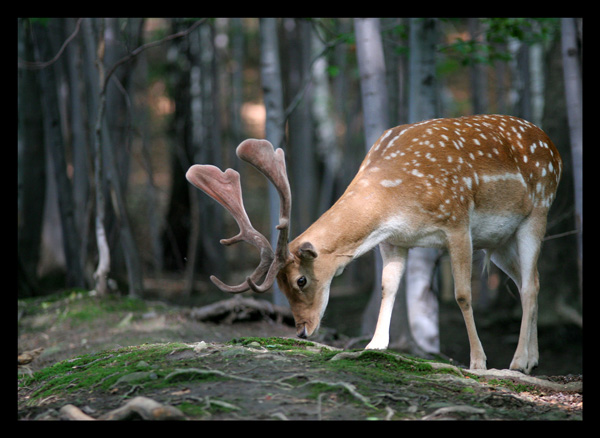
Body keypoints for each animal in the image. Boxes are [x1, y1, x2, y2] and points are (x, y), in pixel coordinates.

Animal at [186, 114, 564, 374]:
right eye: (279, 284)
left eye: (301, 280)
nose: (303, 331)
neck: (395, 197)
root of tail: (554, 148)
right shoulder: (395, 240)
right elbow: (388, 286)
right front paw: (374, 345)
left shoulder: (458, 220)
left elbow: (462, 294)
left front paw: (478, 362)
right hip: (499, 242)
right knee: (534, 280)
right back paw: (533, 359)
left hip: (538, 210)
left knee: (529, 284)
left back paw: (518, 362)